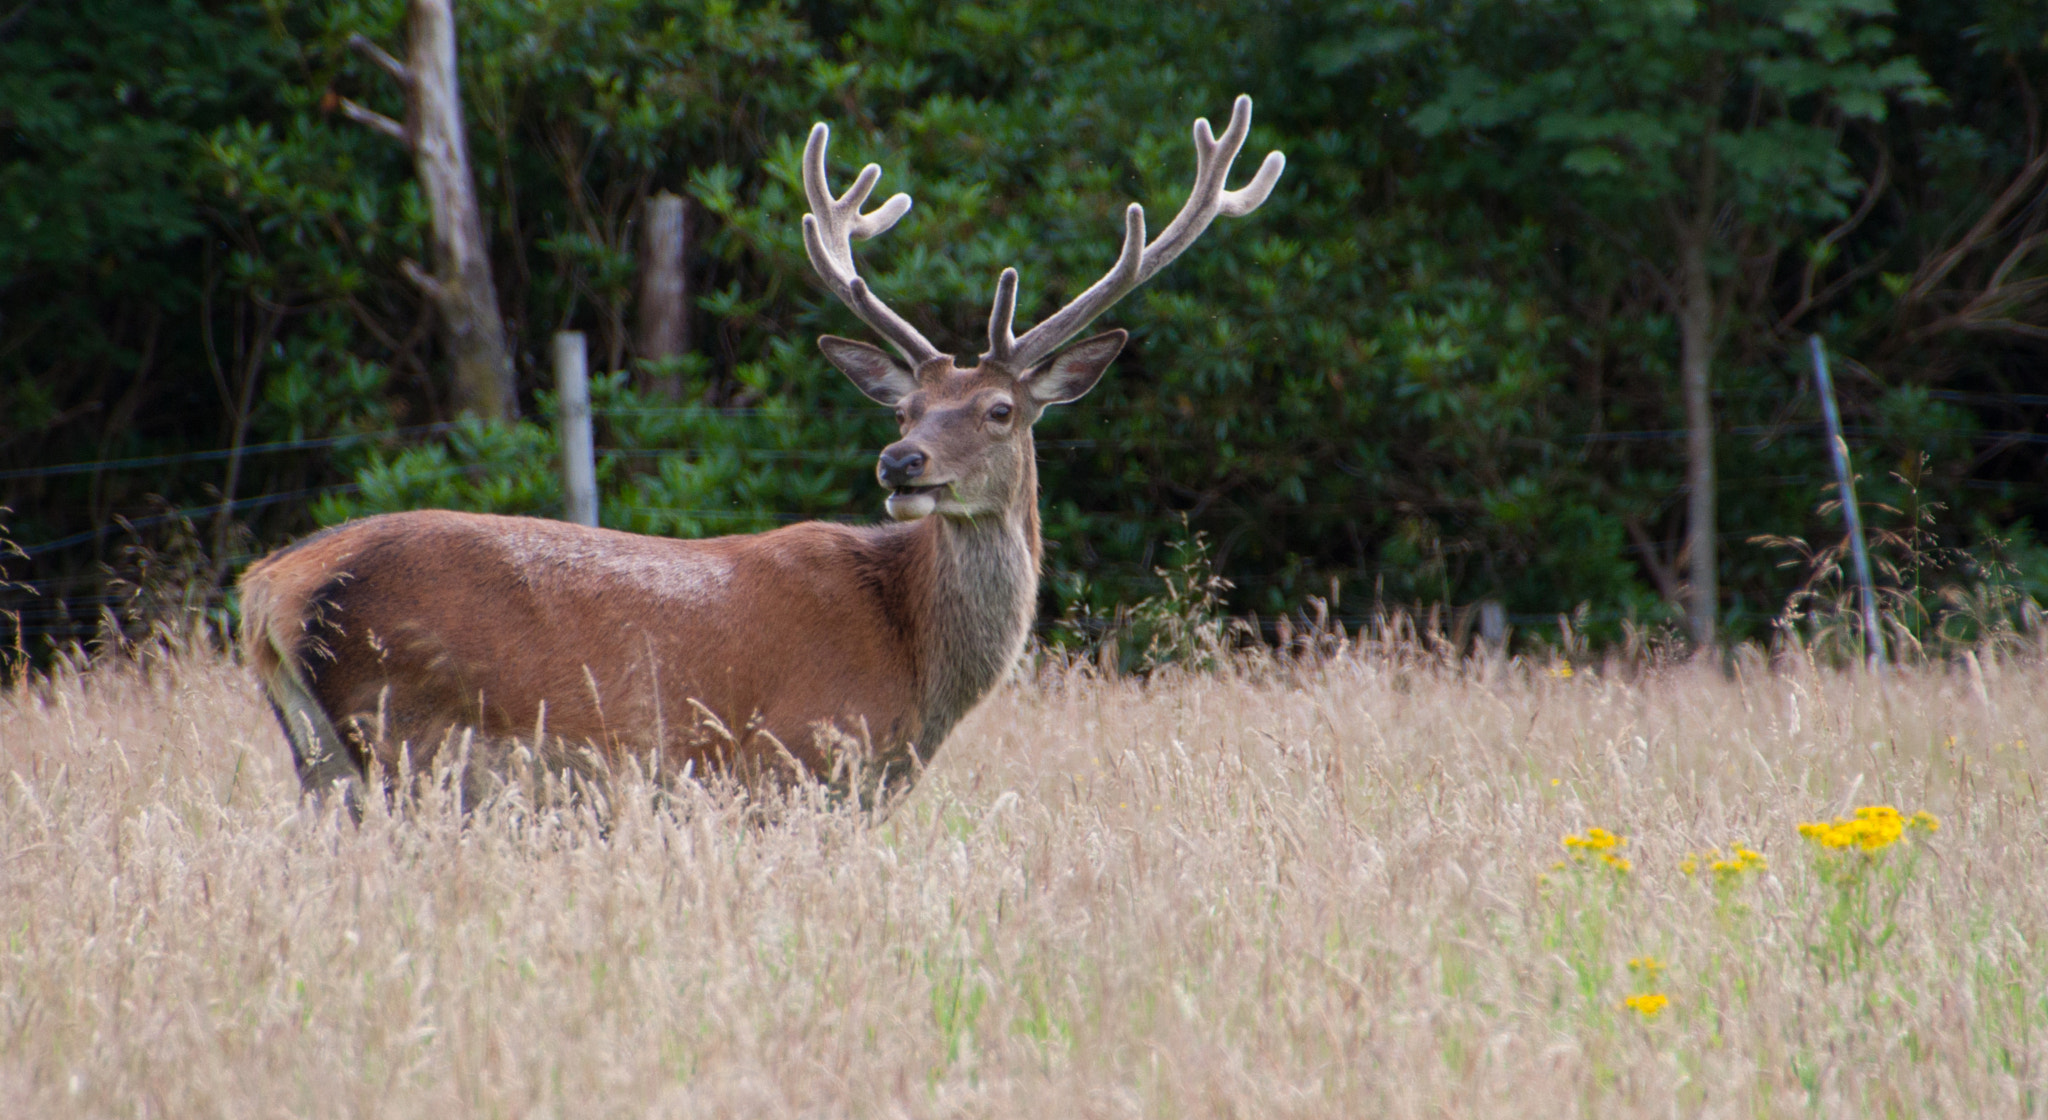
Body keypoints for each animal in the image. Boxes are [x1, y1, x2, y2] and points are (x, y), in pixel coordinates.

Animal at [237, 96, 1284, 813]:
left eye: (996, 410)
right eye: (907, 406)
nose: (900, 464)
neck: (912, 656)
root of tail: (272, 589)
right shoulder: (796, 764)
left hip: (324, 765)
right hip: (406, 738)